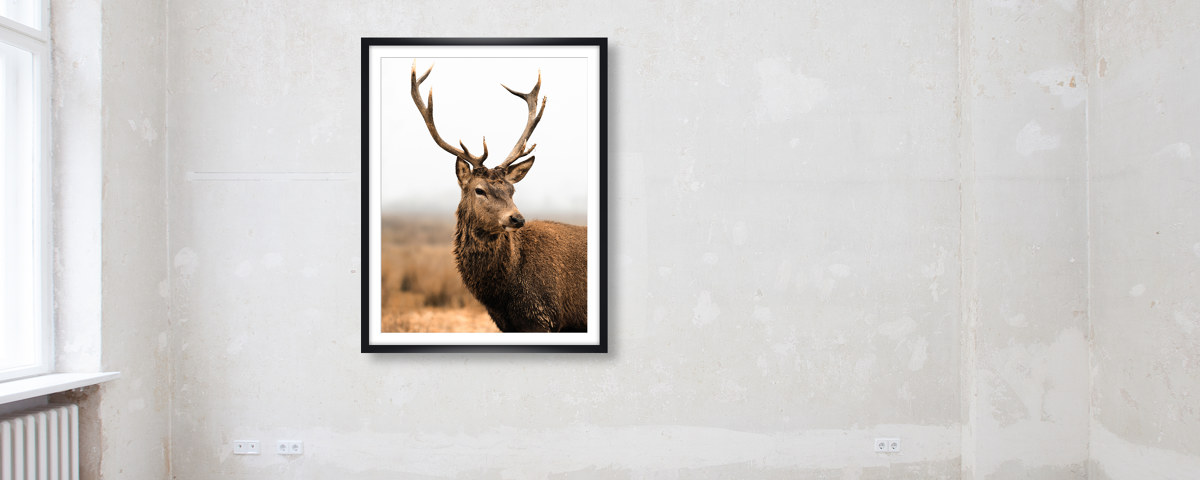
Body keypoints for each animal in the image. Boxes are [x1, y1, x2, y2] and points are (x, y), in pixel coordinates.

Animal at [408, 62, 588, 333]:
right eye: (479, 190)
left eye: (512, 190)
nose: (517, 219)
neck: (503, 296)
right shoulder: (509, 324)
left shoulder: (545, 319)